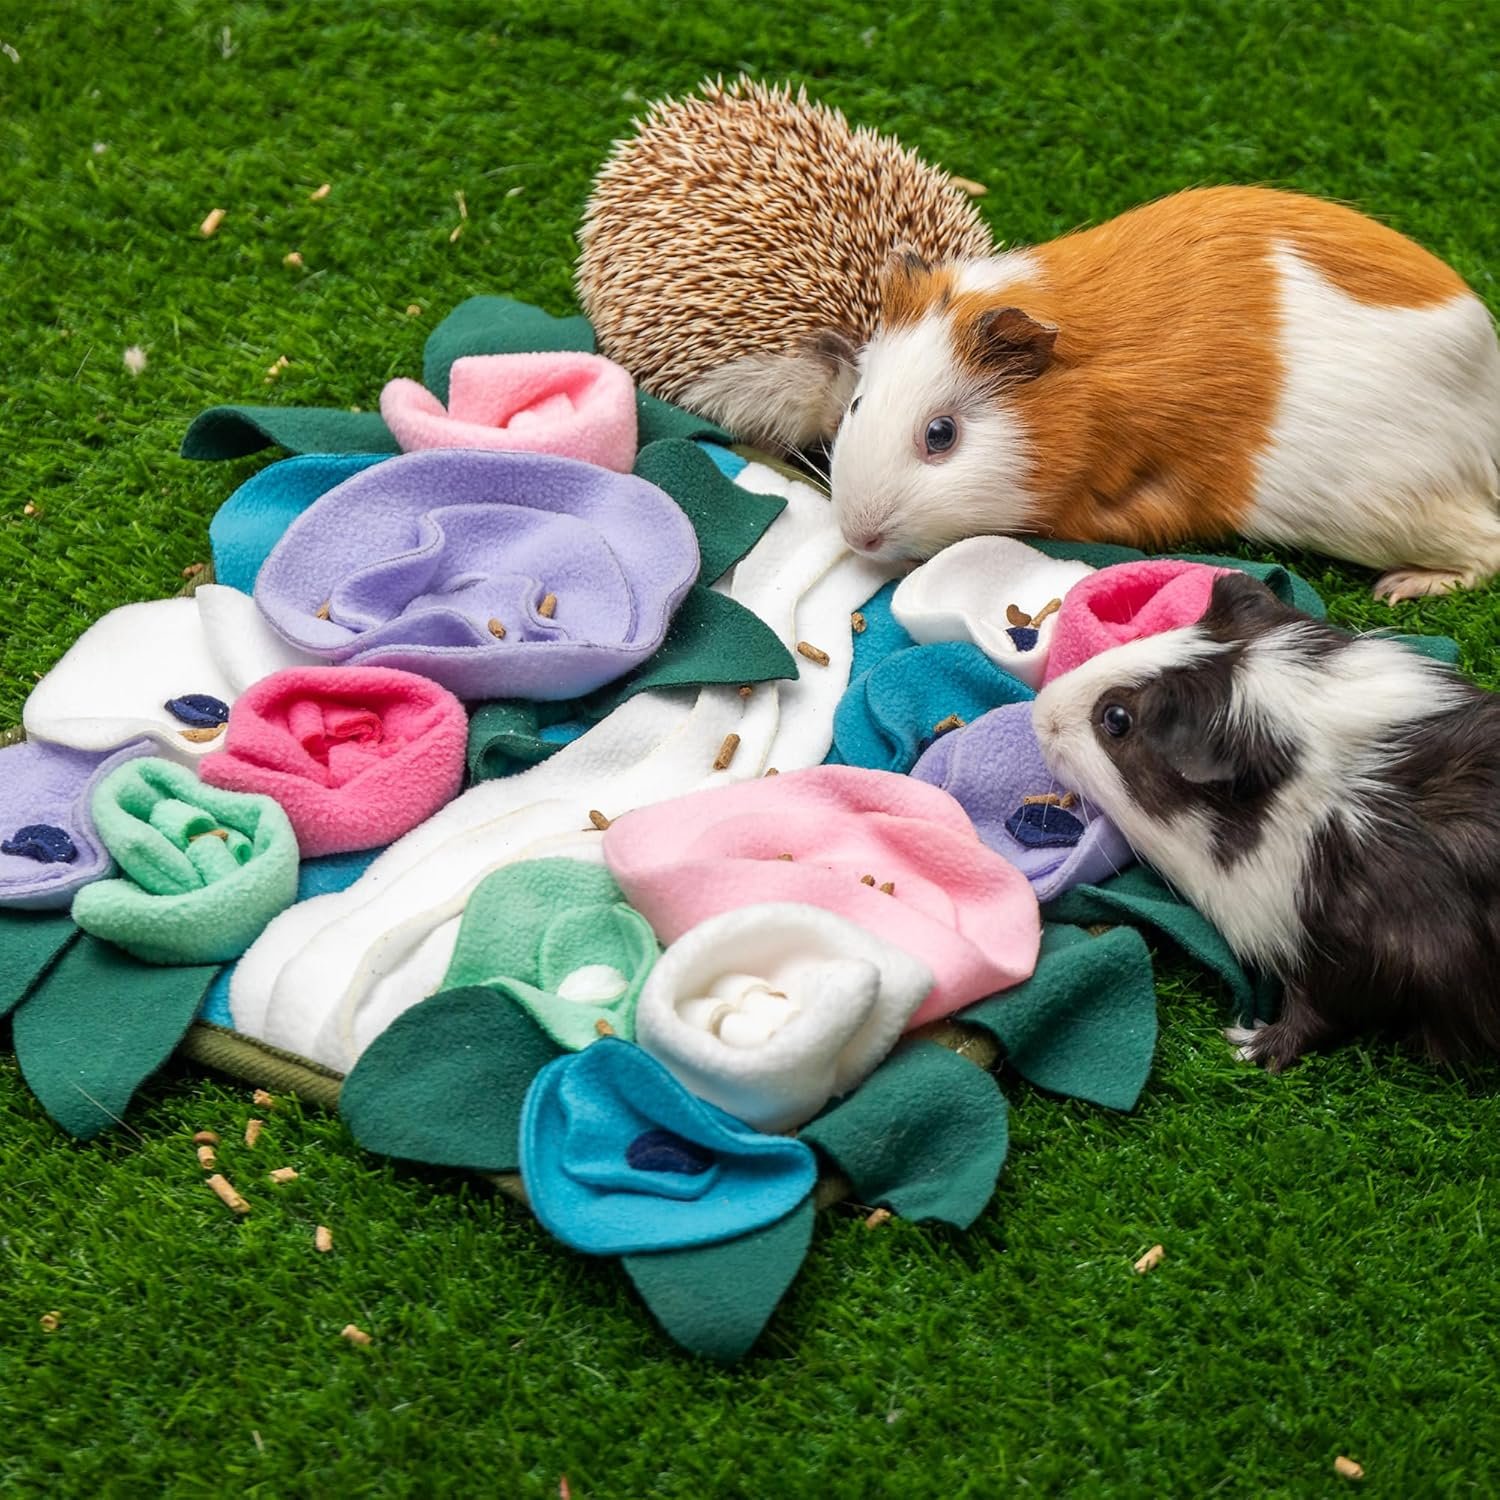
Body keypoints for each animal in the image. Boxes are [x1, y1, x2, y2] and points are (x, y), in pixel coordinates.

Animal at [829, 186, 1500, 603]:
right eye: (857, 404)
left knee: (1486, 549)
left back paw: (1401, 588)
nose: (858, 536)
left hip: (1385, 512)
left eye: (941, 435)